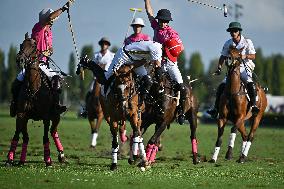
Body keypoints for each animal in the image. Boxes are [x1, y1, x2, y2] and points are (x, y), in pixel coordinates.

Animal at [5, 34, 65, 167]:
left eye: (33, 46)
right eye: (21, 44)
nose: (20, 59)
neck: (33, 87)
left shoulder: (46, 116)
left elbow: (45, 137)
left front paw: (48, 160)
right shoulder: (21, 114)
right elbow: (18, 136)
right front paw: (11, 160)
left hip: (56, 115)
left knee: (53, 131)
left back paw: (62, 155)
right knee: (28, 136)